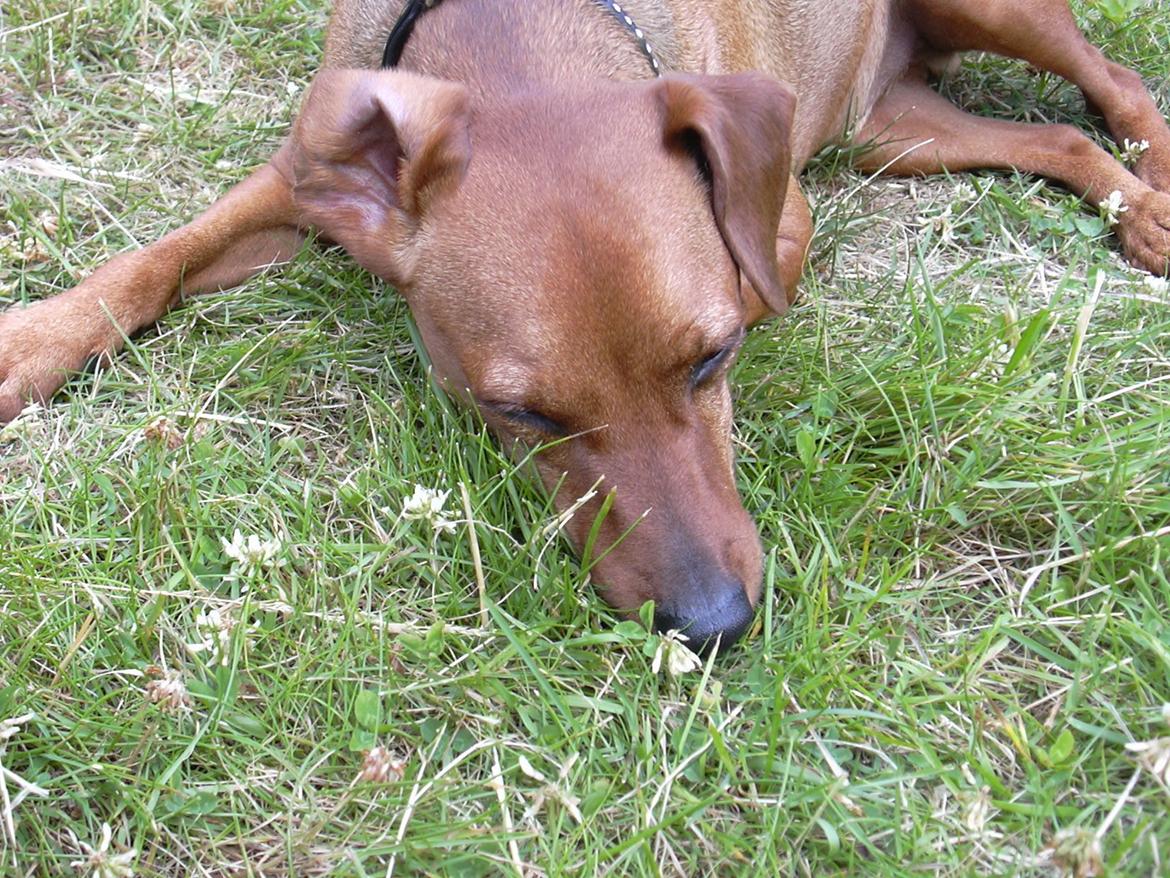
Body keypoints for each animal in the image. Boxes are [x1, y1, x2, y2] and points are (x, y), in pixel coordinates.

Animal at [2, 1, 1170, 655]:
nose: (715, 626)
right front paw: (34, 341)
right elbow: (157, 257)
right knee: (1059, 135)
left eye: (714, 357)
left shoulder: (777, 225)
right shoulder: (308, 179)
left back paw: (1153, 191)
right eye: (519, 412)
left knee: (1110, 77)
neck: (527, 36)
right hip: (891, 126)